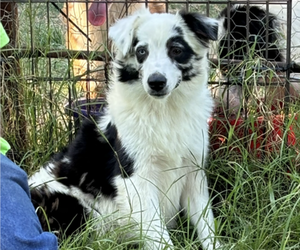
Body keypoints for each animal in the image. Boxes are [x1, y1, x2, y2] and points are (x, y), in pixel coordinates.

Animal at [29, 8, 219, 250]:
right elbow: (160, 235)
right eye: (141, 52)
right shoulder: (135, 180)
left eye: (176, 50)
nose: (156, 82)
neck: (163, 111)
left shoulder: (193, 173)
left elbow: (206, 226)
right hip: (68, 203)